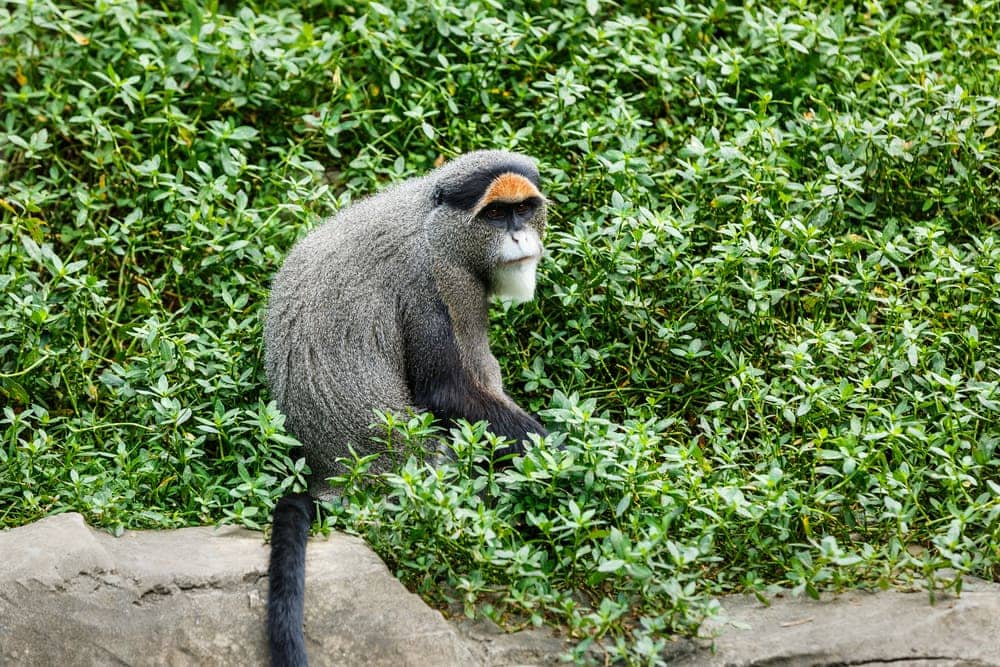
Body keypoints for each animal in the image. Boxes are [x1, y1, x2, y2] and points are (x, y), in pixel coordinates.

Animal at [263, 150, 549, 666]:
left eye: (522, 208)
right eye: (497, 215)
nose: (520, 236)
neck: (436, 225)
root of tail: (329, 480)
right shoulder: (437, 284)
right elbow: (449, 392)